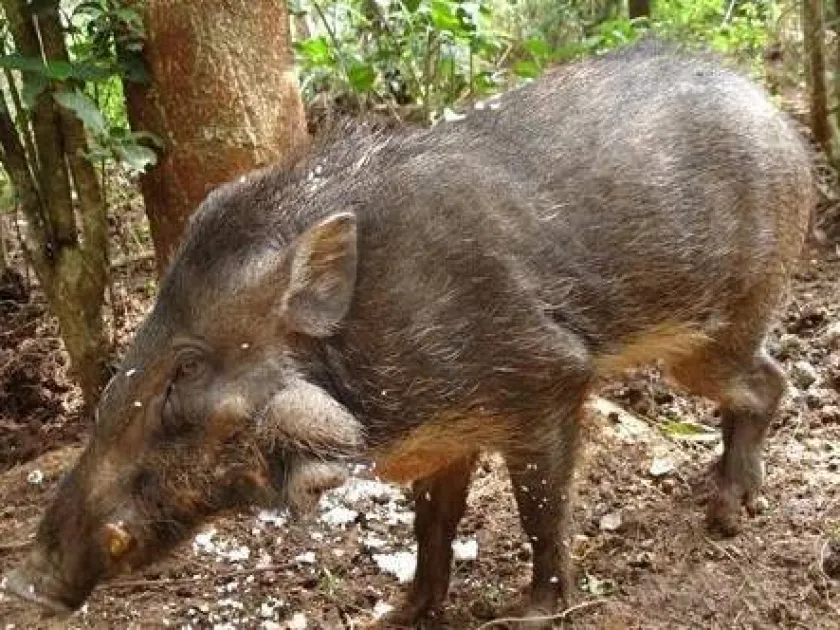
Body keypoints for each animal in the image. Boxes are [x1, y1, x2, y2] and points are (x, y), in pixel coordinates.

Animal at [4, 40, 814, 628]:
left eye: (186, 370)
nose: (25, 582)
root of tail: (780, 118)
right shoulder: (444, 436)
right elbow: (433, 526)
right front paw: (396, 616)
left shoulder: (550, 380)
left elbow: (540, 507)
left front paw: (530, 614)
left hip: (720, 328)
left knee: (771, 382)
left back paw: (727, 515)